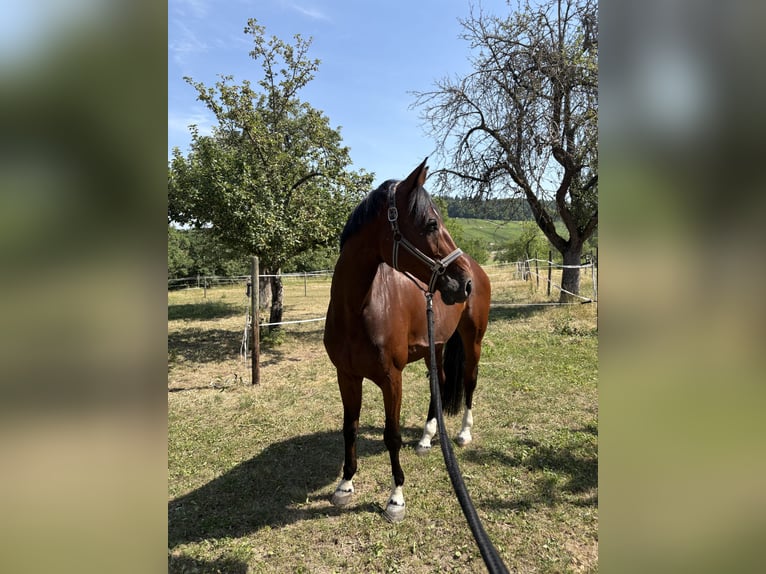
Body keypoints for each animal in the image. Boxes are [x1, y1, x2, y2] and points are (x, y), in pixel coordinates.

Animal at [323, 158, 491, 523]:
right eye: (430, 223)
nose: (465, 283)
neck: (357, 308)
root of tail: (478, 268)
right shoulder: (346, 376)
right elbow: (349, 427)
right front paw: (345, 484)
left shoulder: (392, 378)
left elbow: (392, 435)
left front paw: (396, 498)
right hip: (435, 347)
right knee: (440, 381)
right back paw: (427, 437)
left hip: (473, 339)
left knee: (469, 381)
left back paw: (463, 432)